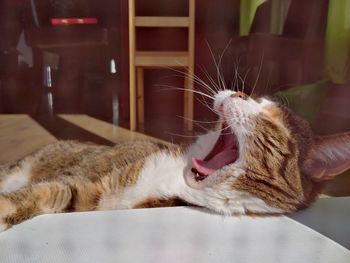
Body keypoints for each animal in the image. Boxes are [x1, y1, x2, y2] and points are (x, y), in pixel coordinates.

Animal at [0, 89, 350, 233]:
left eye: (273, 118)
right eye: (255, 97)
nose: (237, 93)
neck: (176, 179)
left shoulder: (93, 199)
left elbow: (58, 194)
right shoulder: (86, 180)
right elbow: (52, 190)